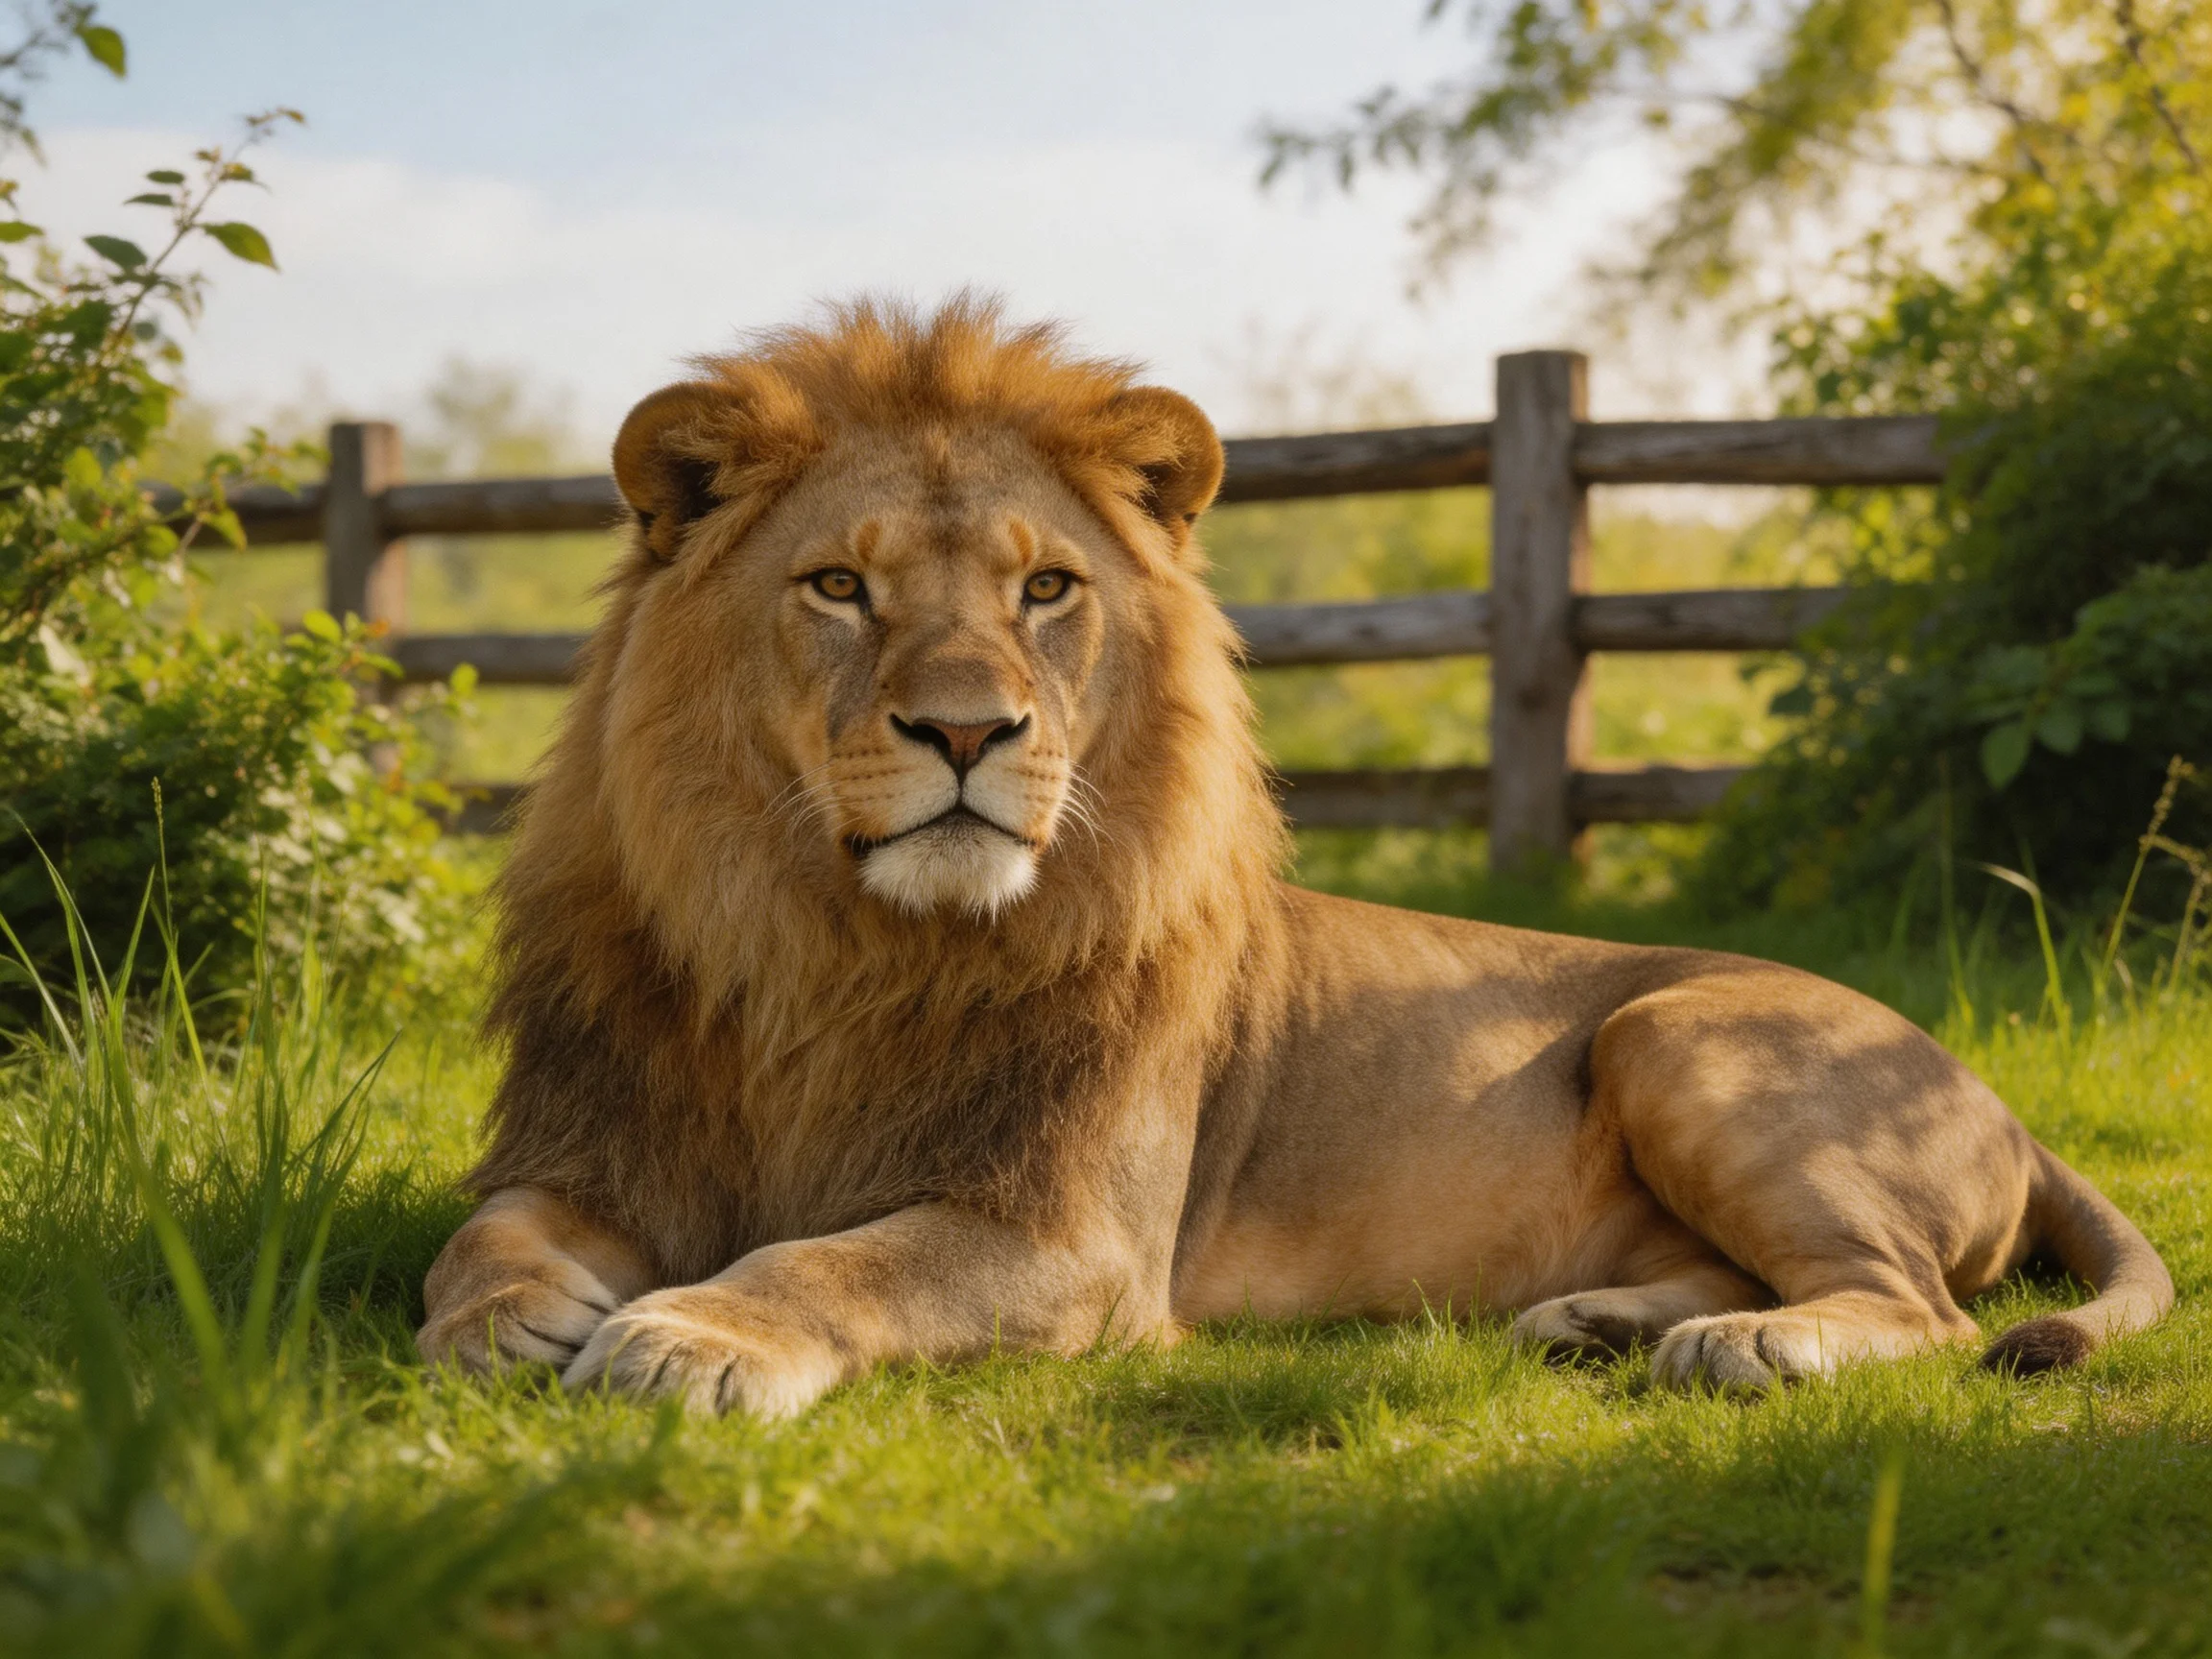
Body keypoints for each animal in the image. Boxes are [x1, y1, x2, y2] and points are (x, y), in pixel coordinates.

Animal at [417, 297, 2172, 1413]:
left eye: (1045, 588)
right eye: (838, 587)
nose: (970, 732)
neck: (833, 947)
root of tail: (2006, 1104)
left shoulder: (1067, 1238)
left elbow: (836, 1262)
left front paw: (692, 1333)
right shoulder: (597, 1145)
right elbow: (479, 1234)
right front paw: (512, 1317)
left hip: (1677, 1030)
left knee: (1922, 1301)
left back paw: (1745, 1350)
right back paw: (1599, 1322)